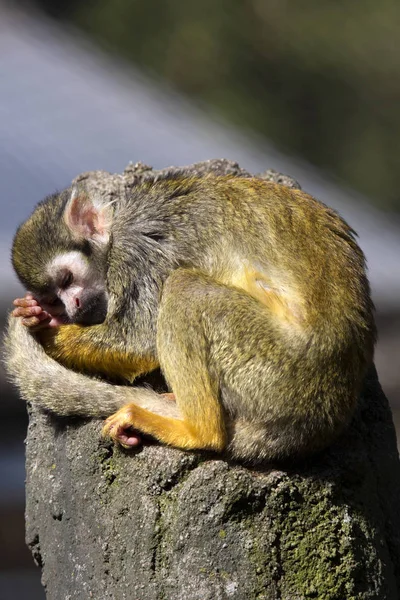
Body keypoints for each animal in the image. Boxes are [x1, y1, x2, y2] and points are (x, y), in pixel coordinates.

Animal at [4, 173, 376, 464]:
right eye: (54, 296)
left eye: (67, 280)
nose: (73, 306)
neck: (116, 228)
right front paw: (39, 314)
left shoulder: (137, 251)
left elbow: (137, 342)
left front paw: (45, 328)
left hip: (277, 373)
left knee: (185, 289)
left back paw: (198, 431)